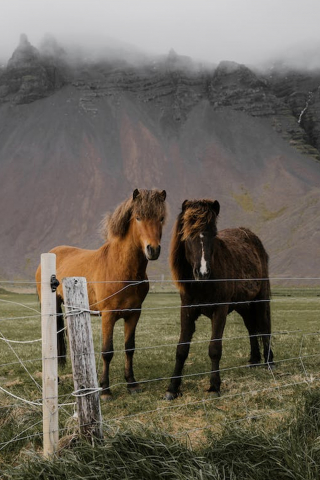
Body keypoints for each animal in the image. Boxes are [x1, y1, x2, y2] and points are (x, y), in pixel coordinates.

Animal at [36, 189, 168, 400]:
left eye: (161, 218)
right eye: (138, 217)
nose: (153, 249)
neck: (121, 269)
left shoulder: (134, 314)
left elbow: (130, 348)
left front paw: (132, 383)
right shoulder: (108, 316)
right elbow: (107, 351)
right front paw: (105, 389)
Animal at [166, 200, 274, 402]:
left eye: (214, 234)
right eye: (188, 235)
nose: (202, 272)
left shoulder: (220, 310)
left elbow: (214, 348)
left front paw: (214, 386)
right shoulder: (187, 310)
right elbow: (181, 349)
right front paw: (172, 388)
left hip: (260, 299)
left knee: (265, 326)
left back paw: (269, 361)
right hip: (243, 305)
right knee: (251, 327)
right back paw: (254, 360)